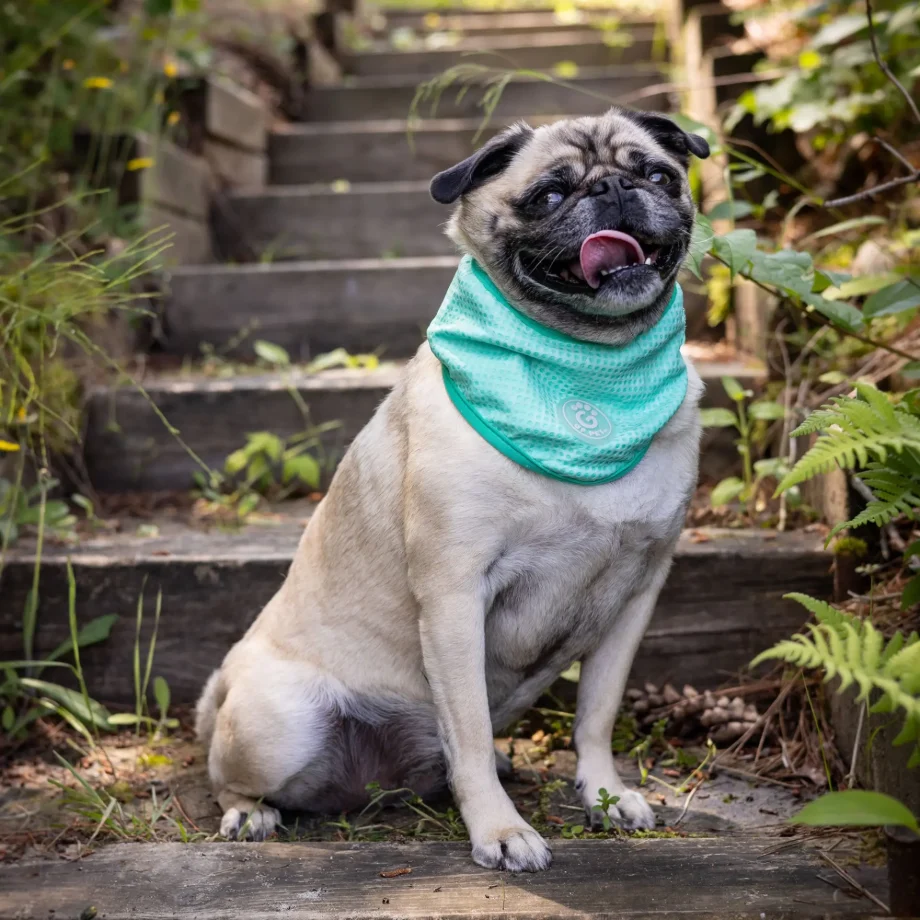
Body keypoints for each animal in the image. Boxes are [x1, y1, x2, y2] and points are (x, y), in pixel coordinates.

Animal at [198, 104, 708, 872]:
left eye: (657, 175)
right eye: (548, 195)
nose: (614, 188)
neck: (586, 371)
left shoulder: (635, 596)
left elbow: (595, 715)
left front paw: (605, 795)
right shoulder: (454, 594)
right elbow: (465, 728)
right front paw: (499, 830)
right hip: (278, 726)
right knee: (227, 775)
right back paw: (248, 813)